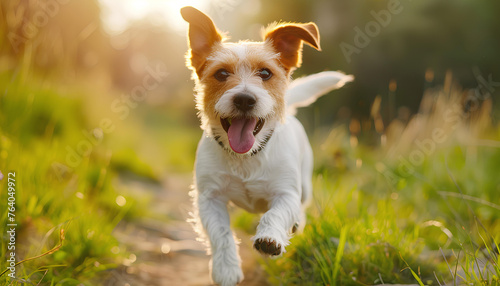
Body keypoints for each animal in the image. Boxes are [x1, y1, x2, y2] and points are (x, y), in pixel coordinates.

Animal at [180, 7, 352, 286]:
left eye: (265, 73)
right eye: (221, 74)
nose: (244, 99)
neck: (246, 157)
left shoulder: (286, 194)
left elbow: (276, 214)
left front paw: (270, 238)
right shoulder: (209, 198)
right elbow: (221, 233)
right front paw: (226, 269)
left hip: (304, 187)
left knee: (300, 210)